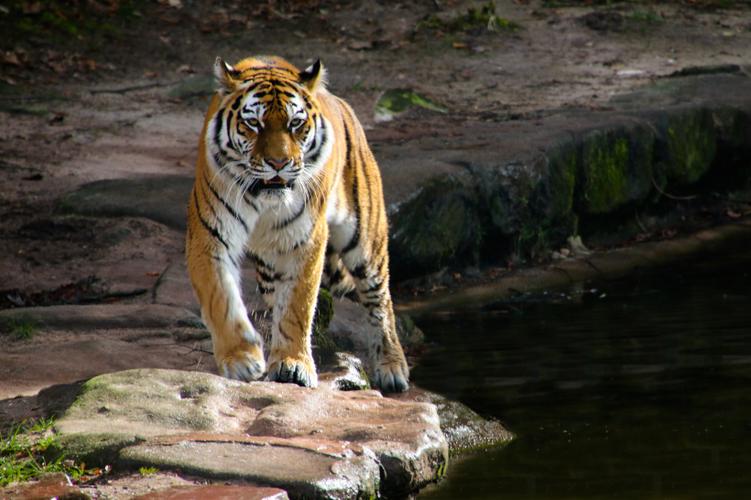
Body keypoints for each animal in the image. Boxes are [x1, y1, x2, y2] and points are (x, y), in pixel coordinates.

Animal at [185, 55, 410, 393]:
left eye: (295, 124)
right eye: (254, 124)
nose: (279, 163)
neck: (263, 198)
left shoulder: (304, 239)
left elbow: (297, 306)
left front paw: (292, 364)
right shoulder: (209, 235)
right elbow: (220, 298)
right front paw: (242, 359)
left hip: (365, 240)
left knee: (379, 300)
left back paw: (392, 367)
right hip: (268, 264)